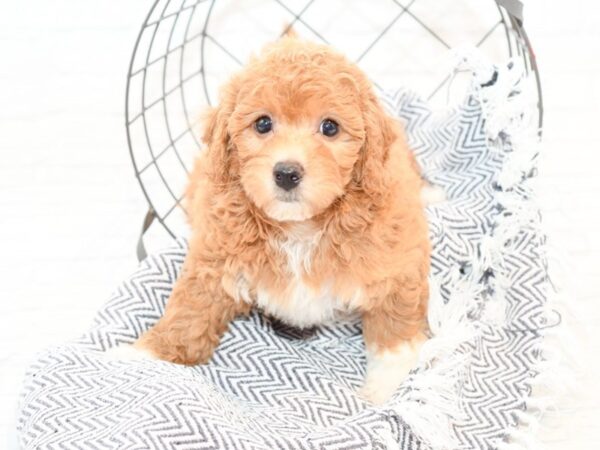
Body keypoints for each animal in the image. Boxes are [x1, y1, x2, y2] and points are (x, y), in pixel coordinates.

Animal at [113, 34, 432, 400]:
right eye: (263, 124)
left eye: (330, 127)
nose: (287, 173)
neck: (300, 226)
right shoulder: (215, 260)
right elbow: (190, 314)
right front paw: (143, 356)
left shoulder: (395, 266)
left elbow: (394, 335)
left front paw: (383, 392)